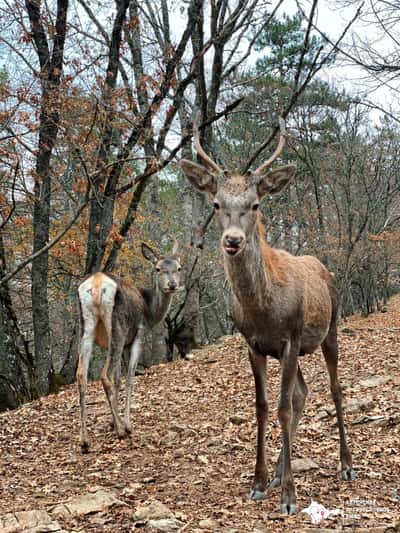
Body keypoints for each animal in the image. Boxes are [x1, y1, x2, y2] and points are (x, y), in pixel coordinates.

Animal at [76, 243, 181, 450]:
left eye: (179, 268)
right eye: (158, 269)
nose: (172, 284)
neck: (151, 312)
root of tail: (96, 285)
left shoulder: (125, 344)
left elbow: (118, 379)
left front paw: (112, 421)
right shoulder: (139, 333)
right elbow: (130, 376)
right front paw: (126, 424)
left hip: (87, 327)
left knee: (82, 374)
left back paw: (85, 440)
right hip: (118, 327)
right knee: (104, 375)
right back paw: (121, 431)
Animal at [180, 117, 354, 516]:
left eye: (255, 204)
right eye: (216, 203)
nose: (232, 240)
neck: (264, 310)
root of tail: (324, 267)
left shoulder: (291, 336)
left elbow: (282, 408)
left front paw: (290, 497)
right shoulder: (254, 345)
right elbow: (262, 407)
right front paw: (258, 483)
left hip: (330, 328)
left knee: (334, 389)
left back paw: (346, 464)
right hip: (300, 348)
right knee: (303, 392)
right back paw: (276, 473)